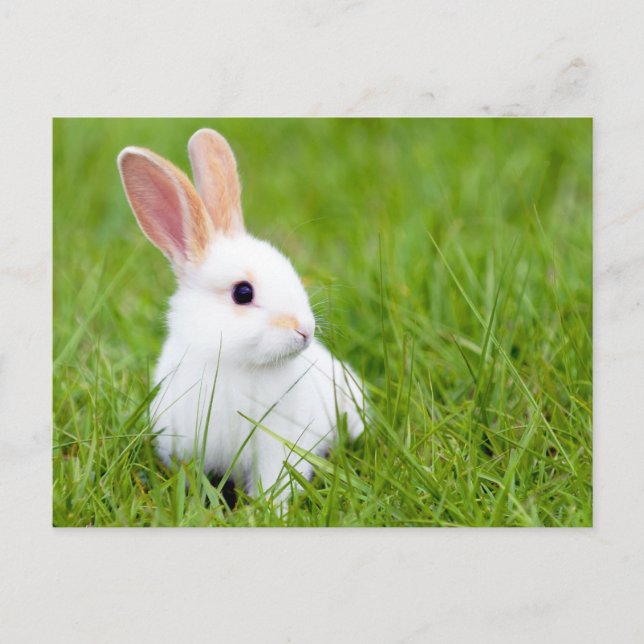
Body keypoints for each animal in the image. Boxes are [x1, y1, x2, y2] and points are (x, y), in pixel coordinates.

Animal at [117, 128, 365, 508]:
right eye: (243, 293)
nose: (304, 330)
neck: (234, 364)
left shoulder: (278, 445)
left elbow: (275, 481)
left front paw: (270, 511)